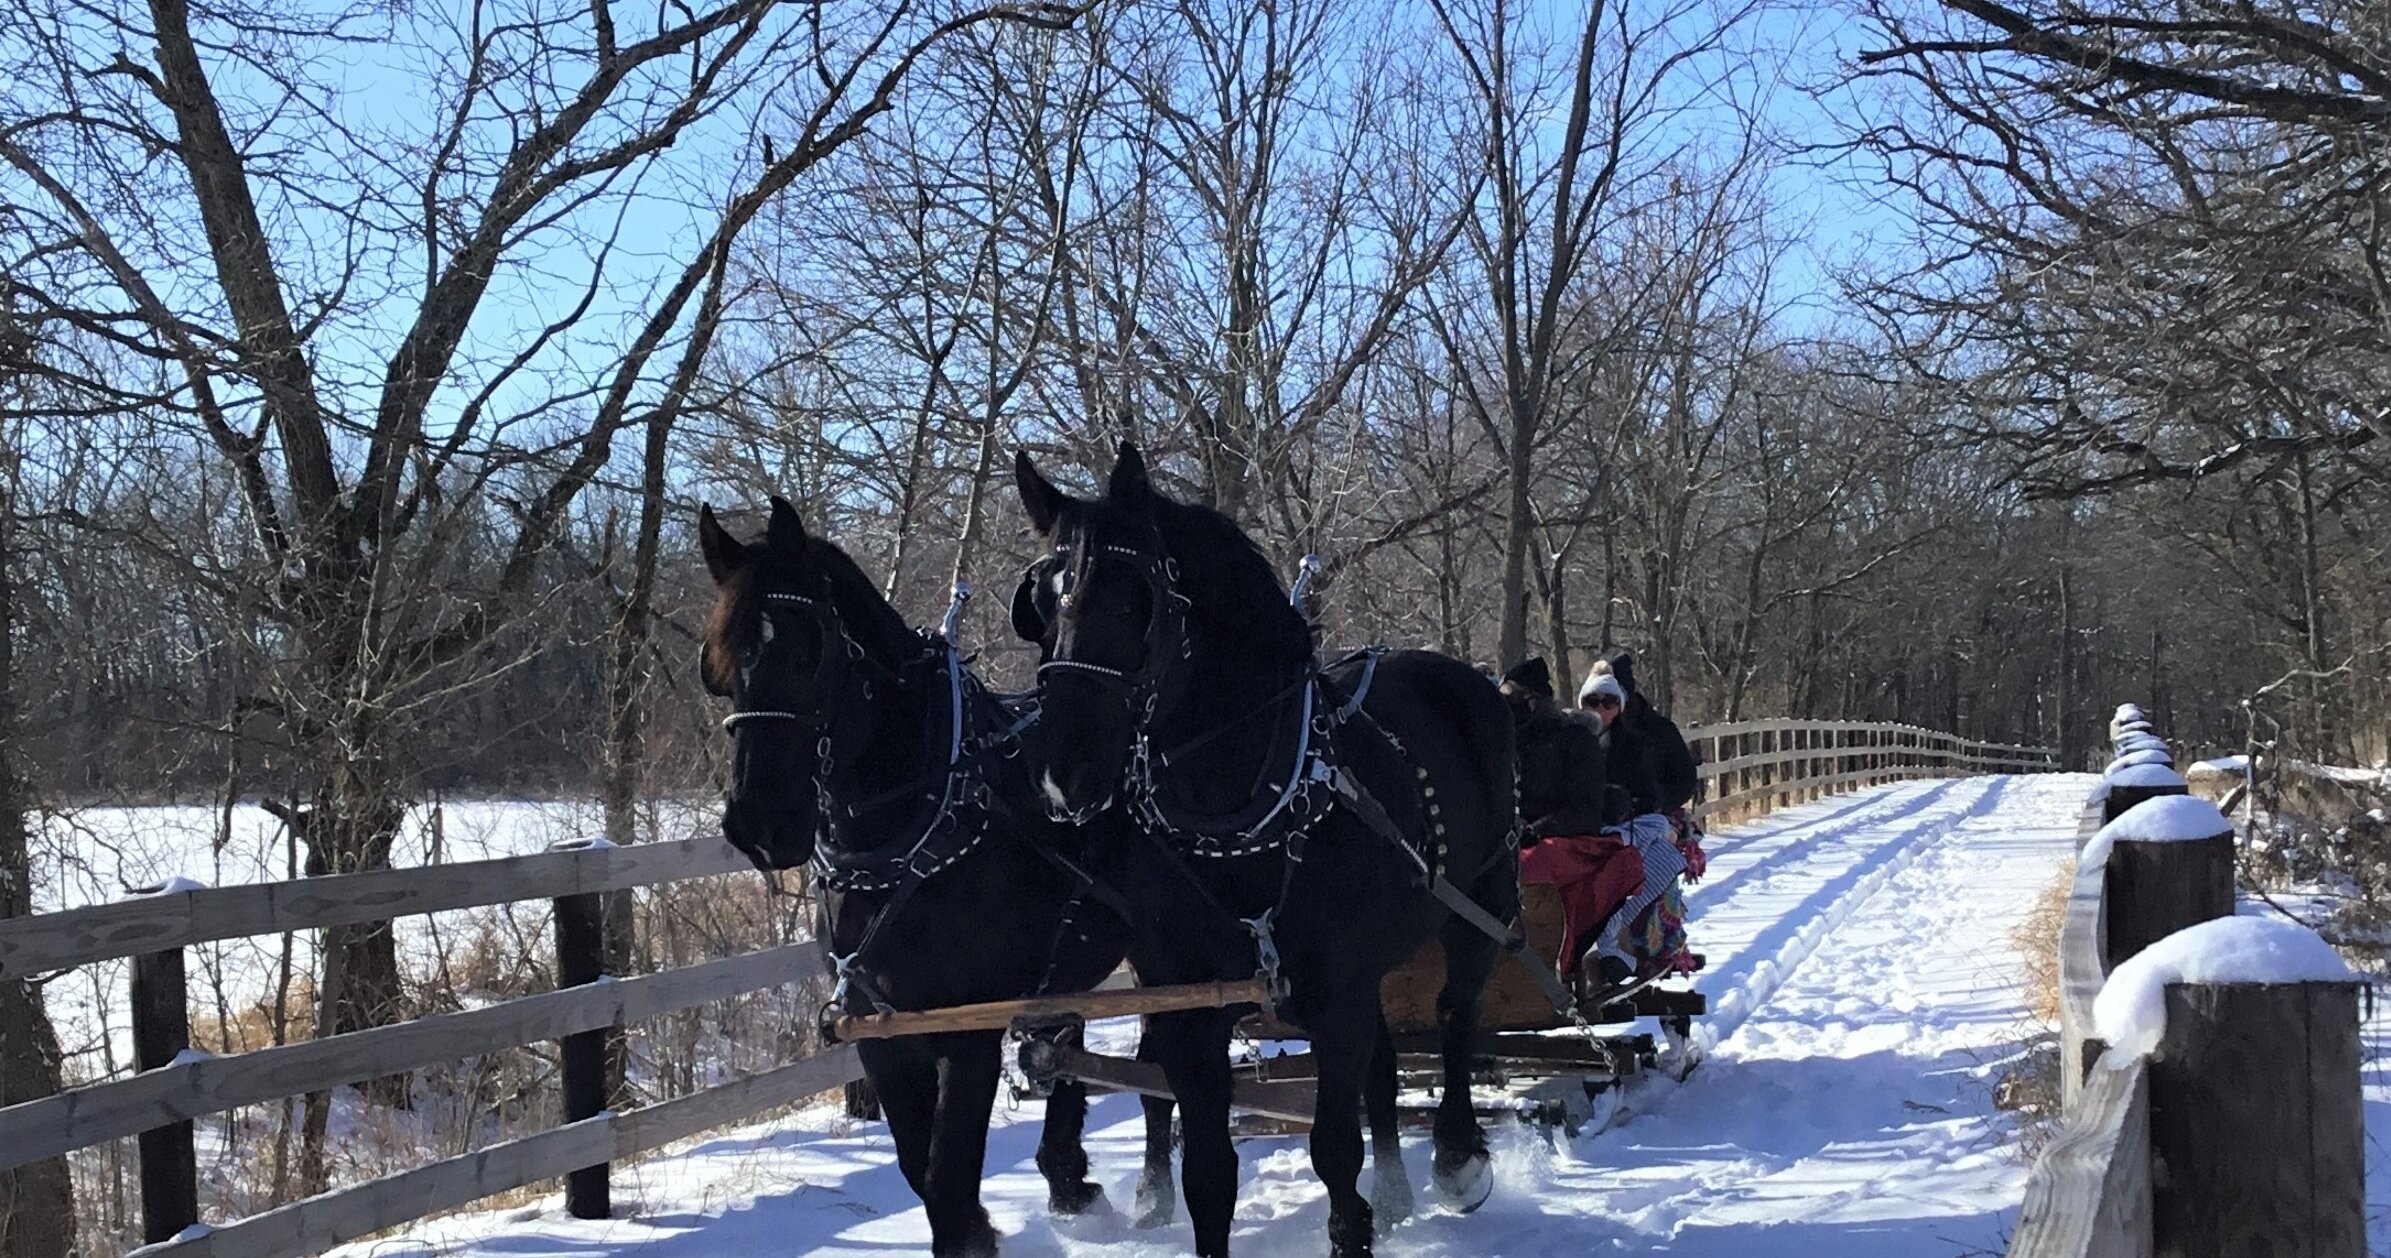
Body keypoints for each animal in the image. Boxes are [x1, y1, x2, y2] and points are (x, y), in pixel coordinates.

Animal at [700, 497, 1141, 1256]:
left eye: (810, 647)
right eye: (720, 662)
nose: (758, 823)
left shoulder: (969, 1033)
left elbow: (945, 1173)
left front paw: (972, 1231)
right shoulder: (881, 1031)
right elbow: (918, 1165)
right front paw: (983, 1226)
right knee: (1067, 1040)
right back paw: (1067, 1175)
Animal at [1009, 443, 1521, 1258]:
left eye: (1135, 601)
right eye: (1038, 604)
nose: (1063, 773)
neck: (1239, 822)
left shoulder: (1337, 996)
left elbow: (1333, 1147)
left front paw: (1356, 1228)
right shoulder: (1194, 1013)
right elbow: (1209, 1174)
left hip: (1482, 900)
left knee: (1454, 1012)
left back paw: (1455, 1156)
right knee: (1384, 1066)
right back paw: (1396, 1193)